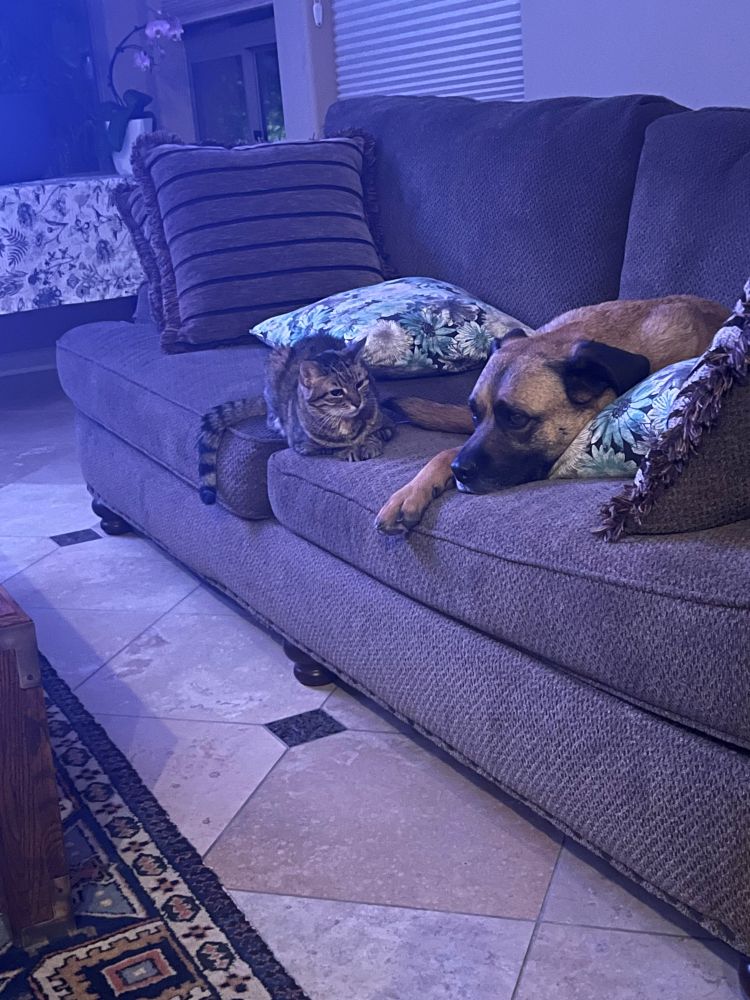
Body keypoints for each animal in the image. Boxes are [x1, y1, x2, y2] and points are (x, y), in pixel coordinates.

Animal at [198, 334, 394, 505]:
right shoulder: (303, 445)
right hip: (276, 362)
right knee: (271, 418)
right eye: (336, 392)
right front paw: (349, 450)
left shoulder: (387, 424)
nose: (357, 402)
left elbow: (374, 435)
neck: (345, 422)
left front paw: (368, 446)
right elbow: (331, 447)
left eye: (359, 384)